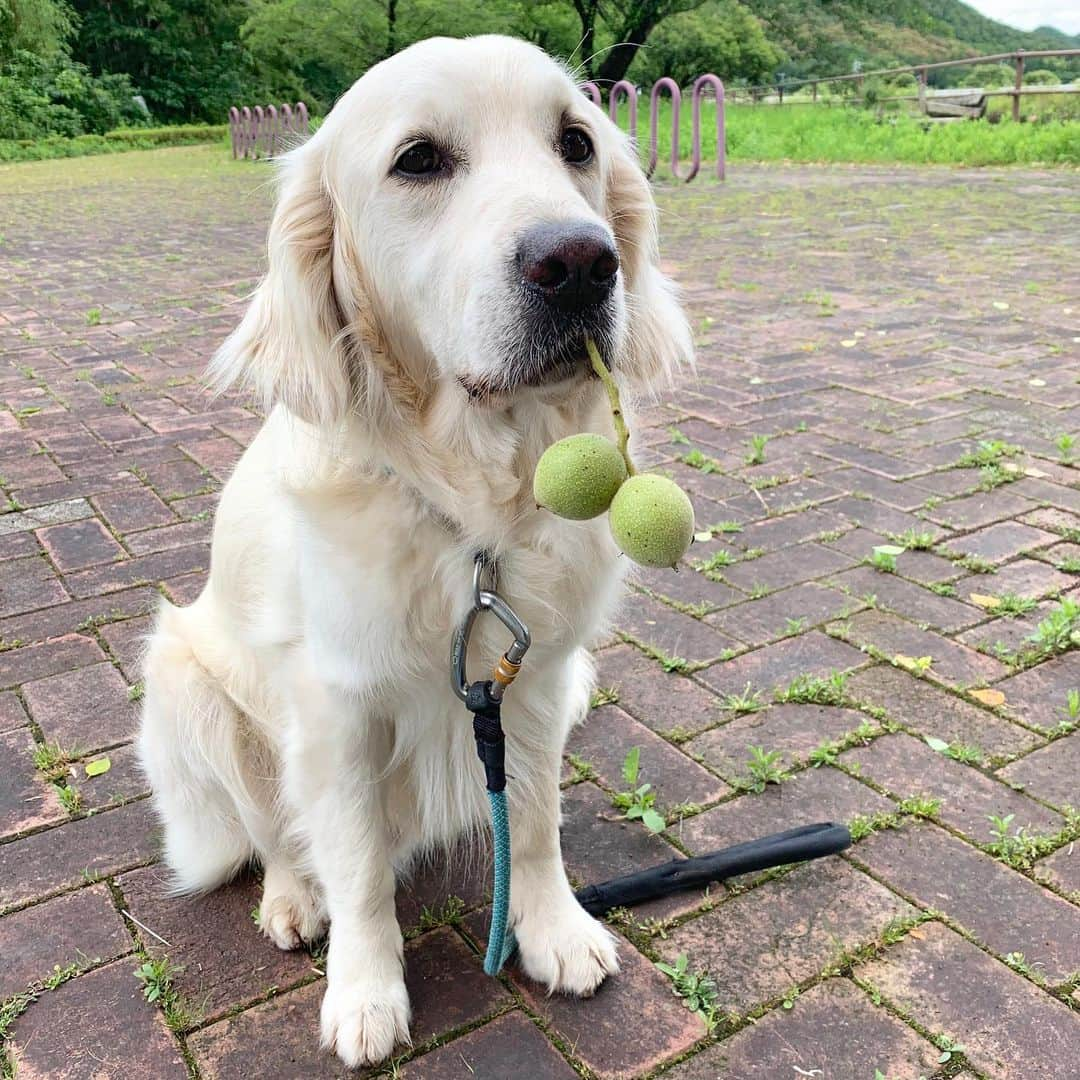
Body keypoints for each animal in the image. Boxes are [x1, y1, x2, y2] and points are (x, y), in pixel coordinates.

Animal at [137, 35, 691, 1071]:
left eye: (576, 142)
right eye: (420, 160)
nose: (581, 261)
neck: (471, 521)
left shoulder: (536, 681)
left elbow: (537, 821)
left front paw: (553, 927)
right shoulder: (335, 709)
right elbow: (353, 866)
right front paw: (365, 991)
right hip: (187, 686)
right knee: (274, 834)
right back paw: (291, 901)